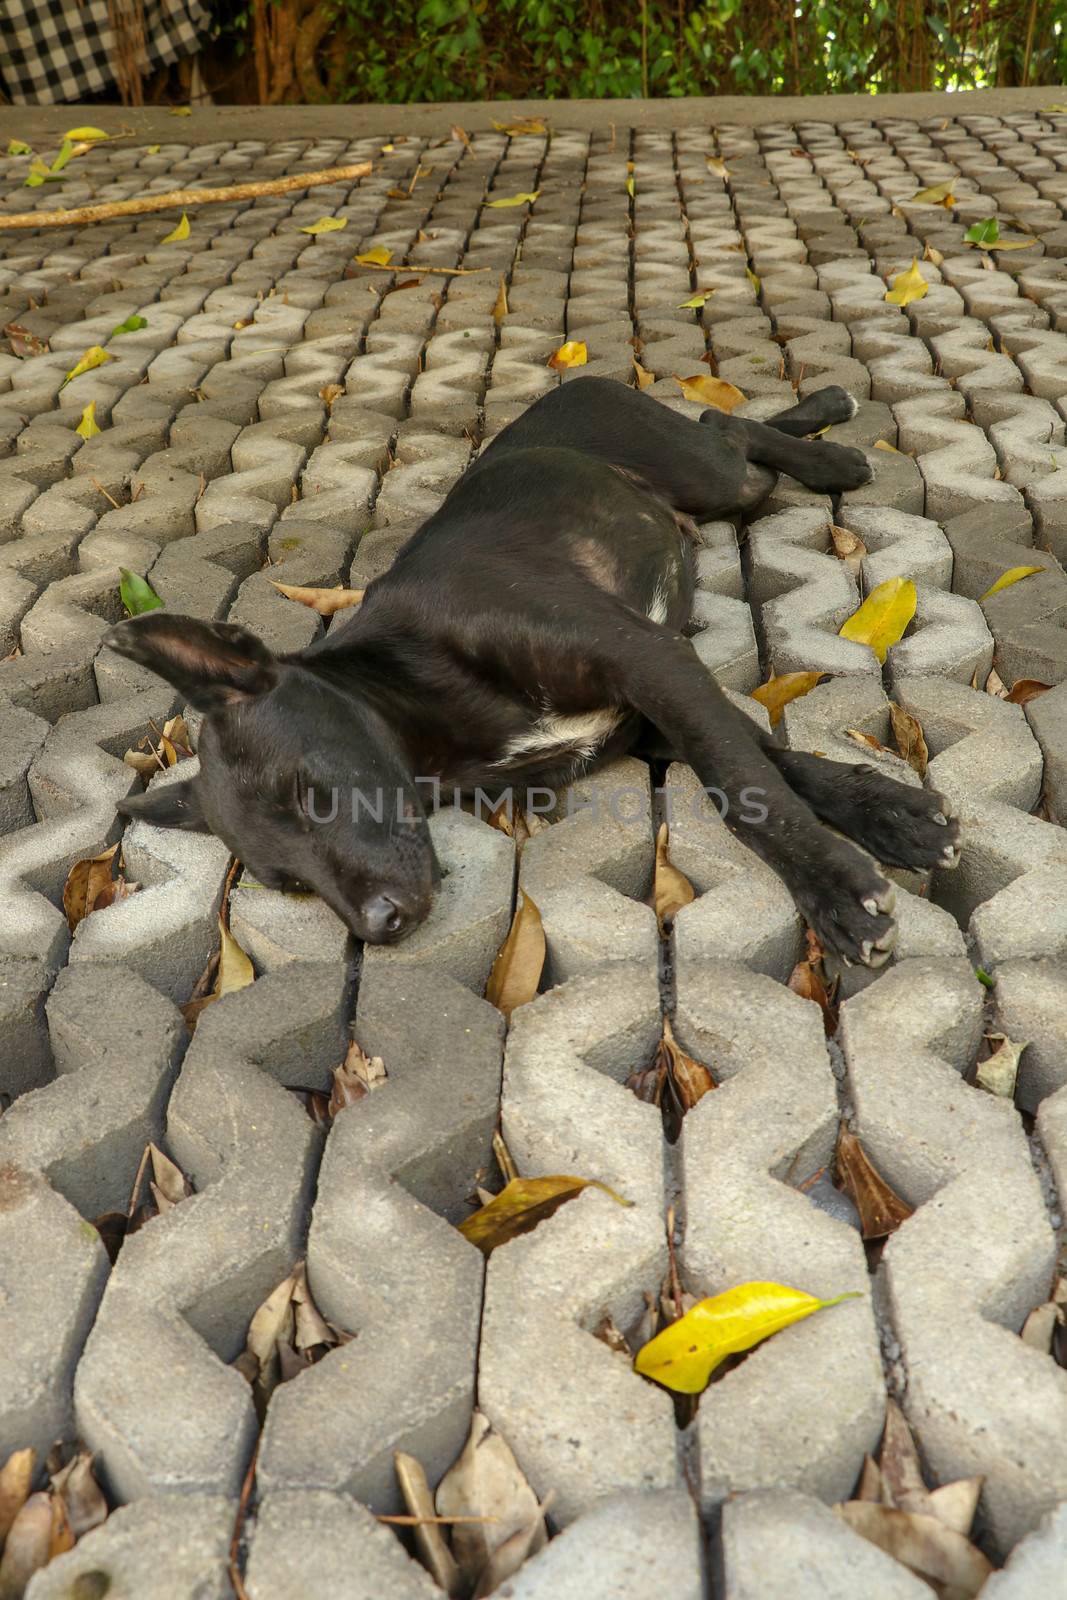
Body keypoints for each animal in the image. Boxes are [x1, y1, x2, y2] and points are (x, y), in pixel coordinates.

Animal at [103, 380, 966, 966]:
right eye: (286, 883)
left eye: (308, 795)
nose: (379, 929)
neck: (423, 705)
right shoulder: (648, 719)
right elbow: (770, 764)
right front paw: (895, 818)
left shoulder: (651, 662)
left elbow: (745, 790)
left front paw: (835, 887)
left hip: (709, 474)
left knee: (723, 425)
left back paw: (829, 448)